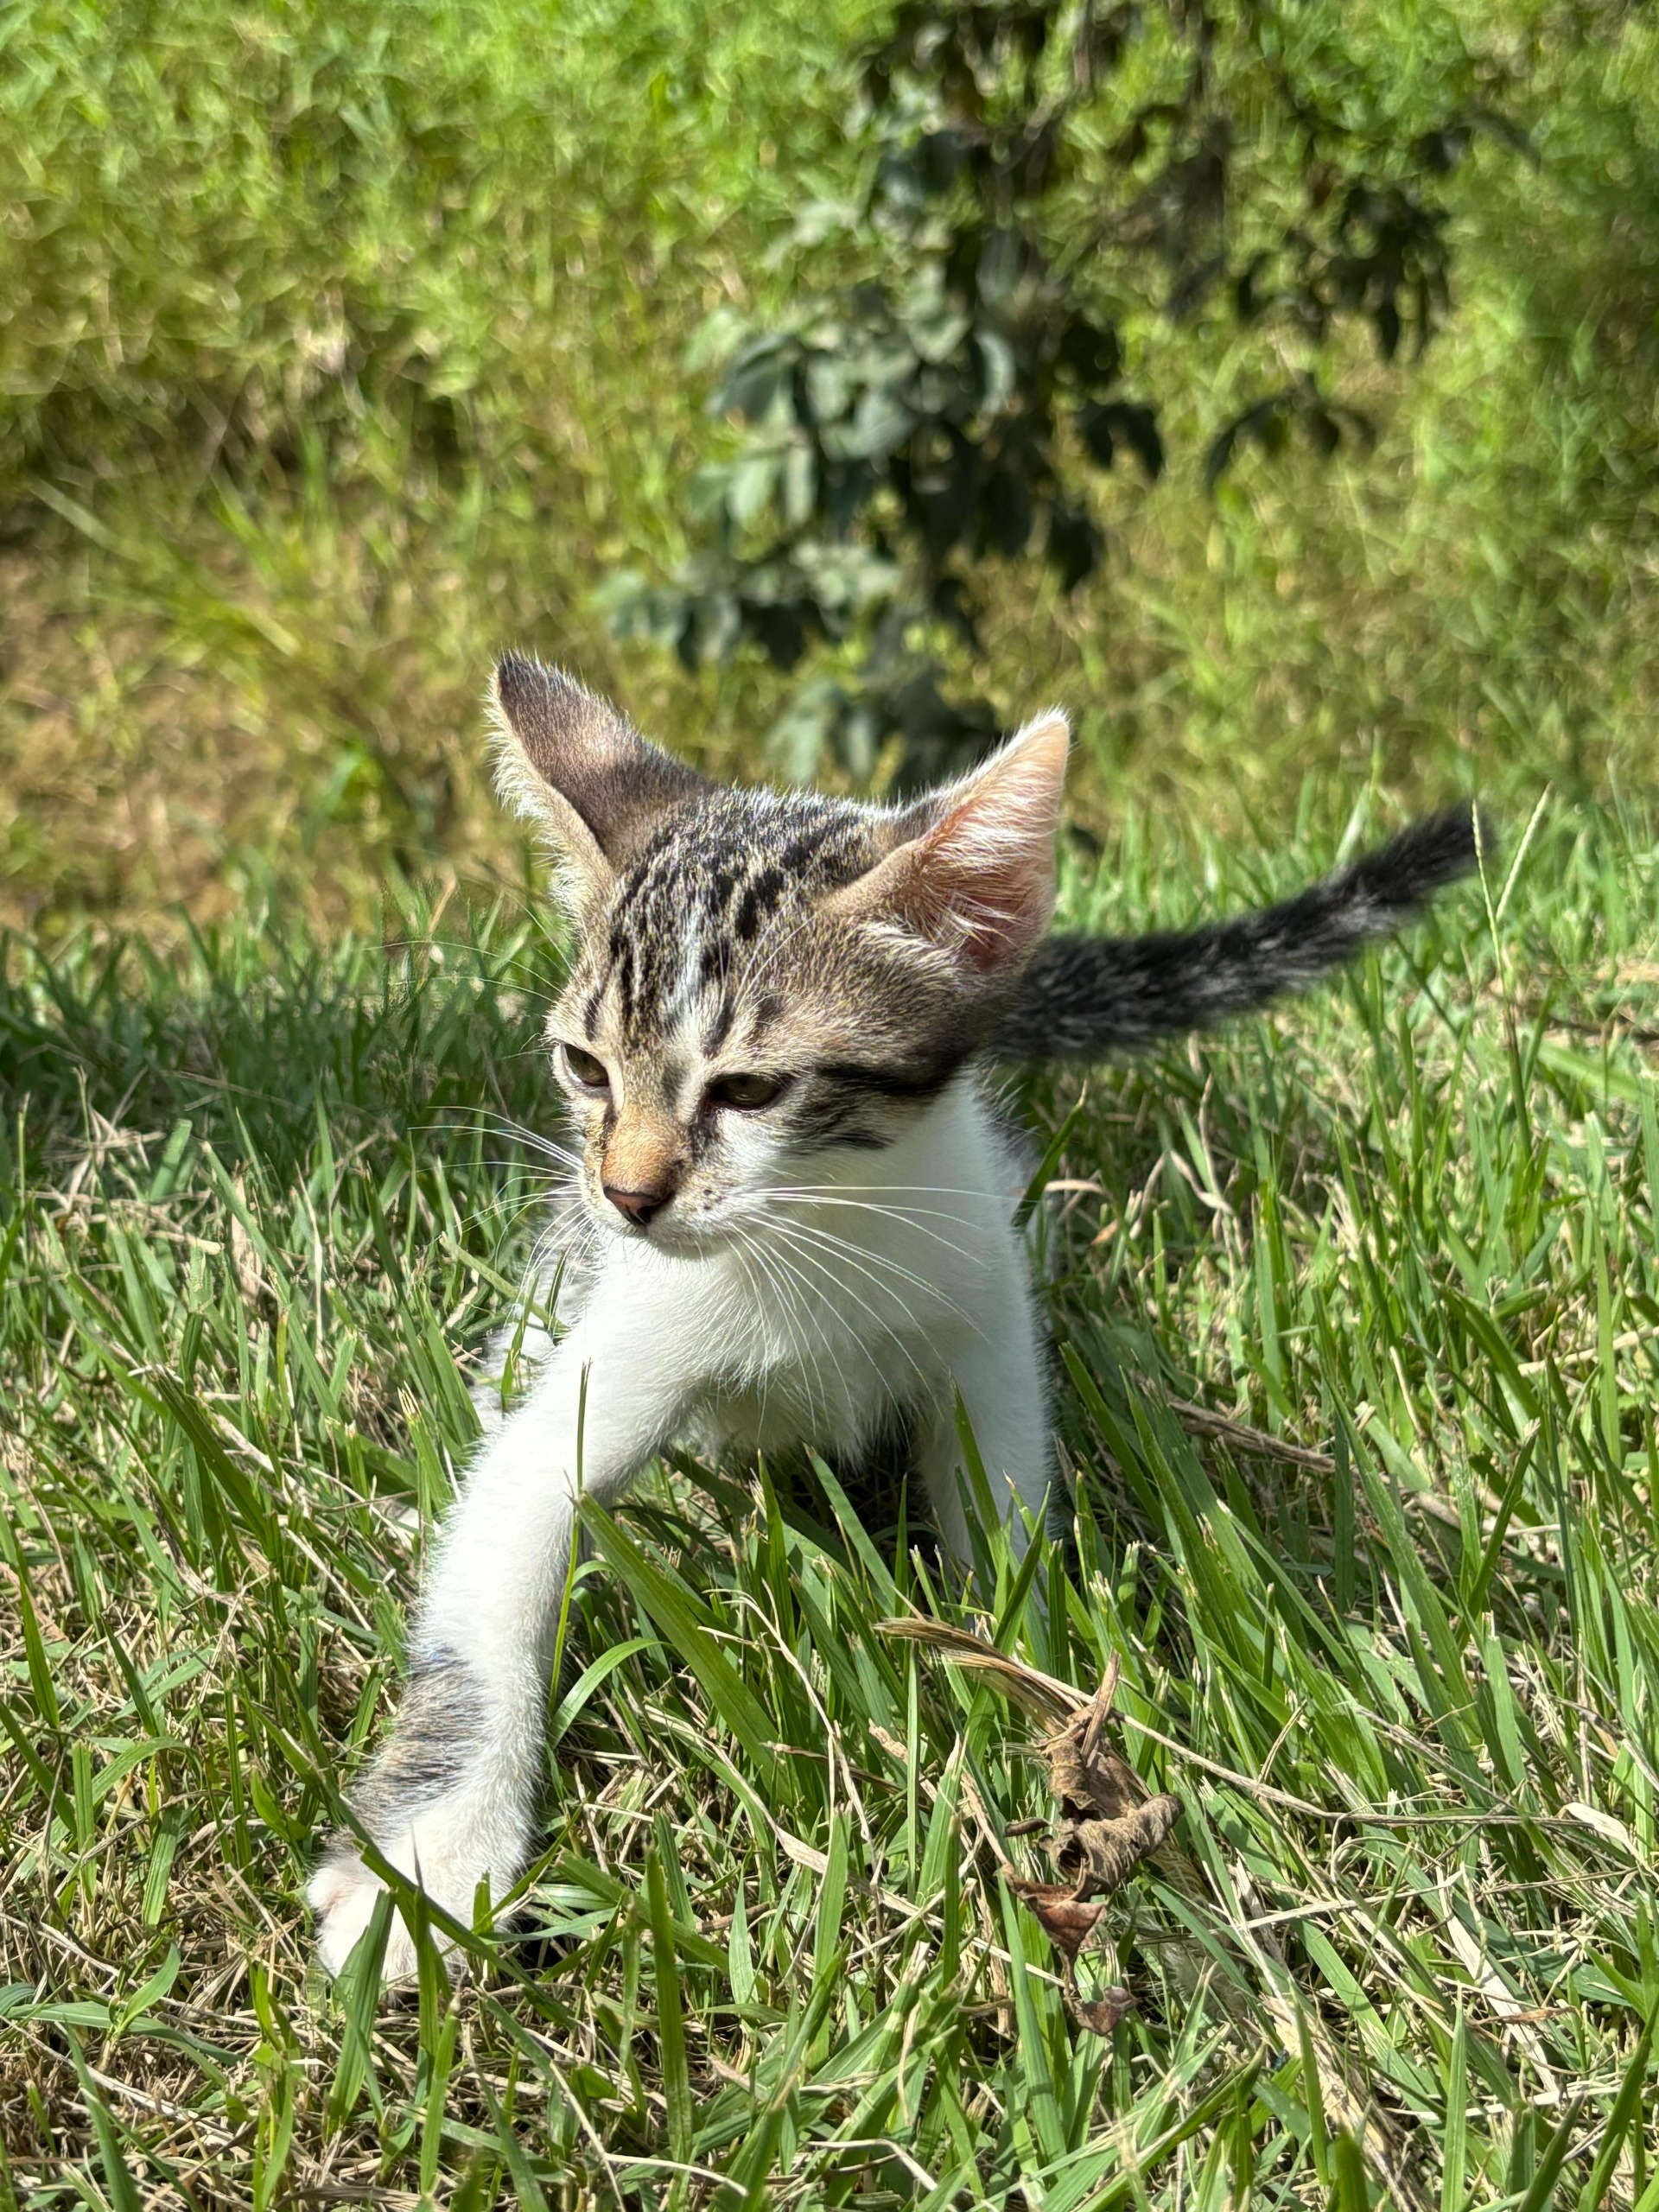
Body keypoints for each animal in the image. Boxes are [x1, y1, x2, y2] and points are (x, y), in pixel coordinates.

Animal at [311, 650, 1478, 1973]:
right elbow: (495, 1574)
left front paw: (1031, 1695)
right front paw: (431, 1861)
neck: (815, 1235)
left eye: (750, 1090)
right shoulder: (615, 1345)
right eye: (585, 1068)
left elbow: (1004, 1531)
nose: (629, 1192)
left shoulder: (986, 1321)